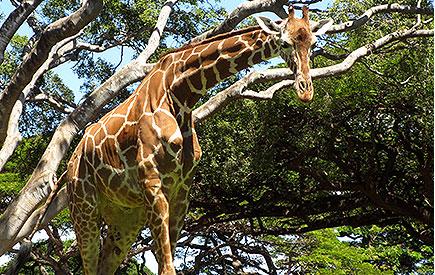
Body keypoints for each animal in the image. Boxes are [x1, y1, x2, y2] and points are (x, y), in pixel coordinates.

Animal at [67, 6, 334, 275]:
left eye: (312, 43)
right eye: (286, 43)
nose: (305, 90)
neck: (181, 95)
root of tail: (73, 158)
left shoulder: (182, 189)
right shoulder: (152, 182)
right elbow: (167, 267)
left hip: (126, 216)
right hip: (84, 207)